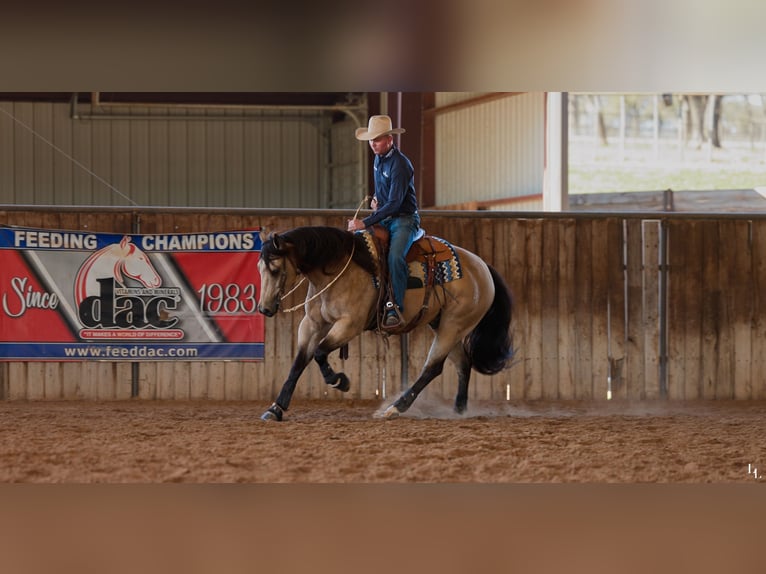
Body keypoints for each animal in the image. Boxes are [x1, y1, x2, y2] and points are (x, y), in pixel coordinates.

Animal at [256, 225, 514, 421]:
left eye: (275, 269)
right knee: (462, 363)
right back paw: (458, 409)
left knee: (432, 368)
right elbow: (299, 362)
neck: (338, 269)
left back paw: (395, 408)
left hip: (453, 325)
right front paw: (276, 408)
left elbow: (319, 353)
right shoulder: (311, 324)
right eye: (260, 268)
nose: (264, 308)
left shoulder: (349, 325)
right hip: (445, 325)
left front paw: (340, 381)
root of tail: (482, 267)